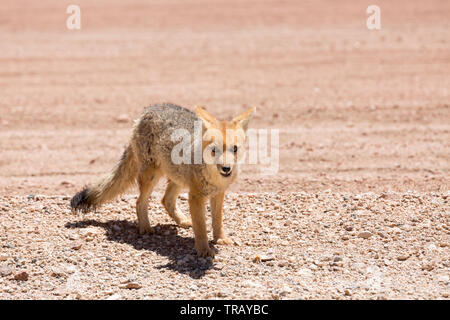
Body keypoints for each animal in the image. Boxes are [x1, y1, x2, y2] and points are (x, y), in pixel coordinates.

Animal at [70, 102, 253, 258]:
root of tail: (149, 109)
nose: (226, 168)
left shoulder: (218, 193)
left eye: (234, 149)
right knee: (140, 202)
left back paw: (182, 220)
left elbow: (217, 220)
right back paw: (145, 228)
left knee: (166, 200)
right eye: (214, 150)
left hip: (177, 178)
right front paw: (203, 250)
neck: (215, 178)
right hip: (152, 175)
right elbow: (201, 227)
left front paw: (220, 238)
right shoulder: (195, 196)